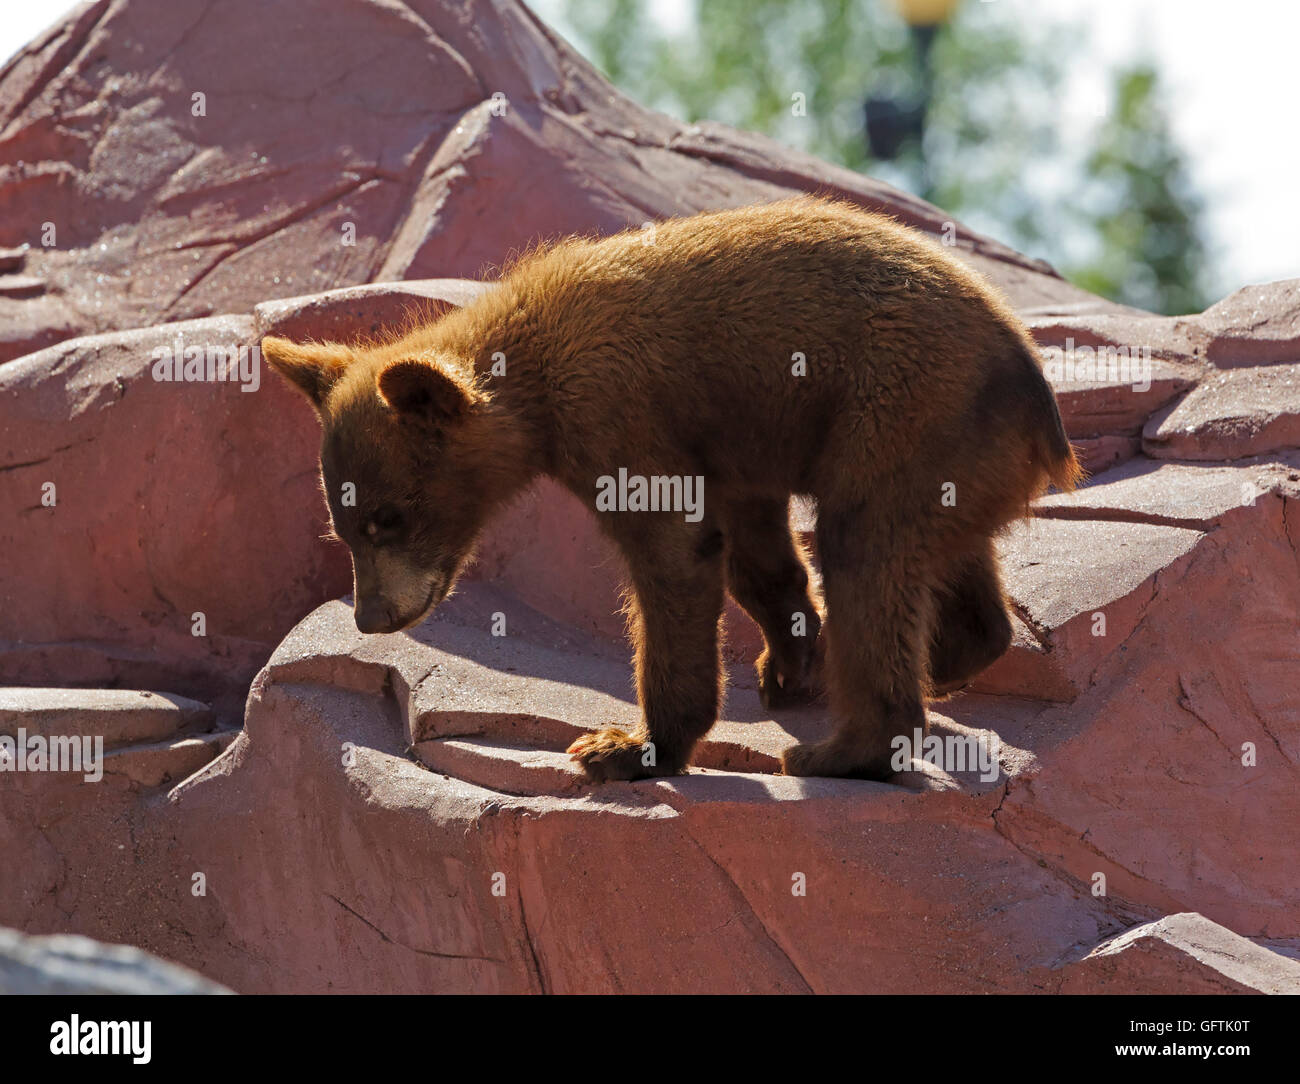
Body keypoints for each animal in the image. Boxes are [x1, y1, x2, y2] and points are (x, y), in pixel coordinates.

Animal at [262, 195, 1080, 782]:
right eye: (343, 525)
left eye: (388, 518)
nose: (370, 617)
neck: (536, 379)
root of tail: (1039, 400)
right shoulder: (735, 439)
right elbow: (755, 546)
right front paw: (787, 660)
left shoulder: (619, 407)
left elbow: (671, 554)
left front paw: (623, 745)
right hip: (949, 450)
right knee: (945, 558)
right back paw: (952, 656)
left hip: (901, 410)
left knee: (864, 552)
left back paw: (841, 749)